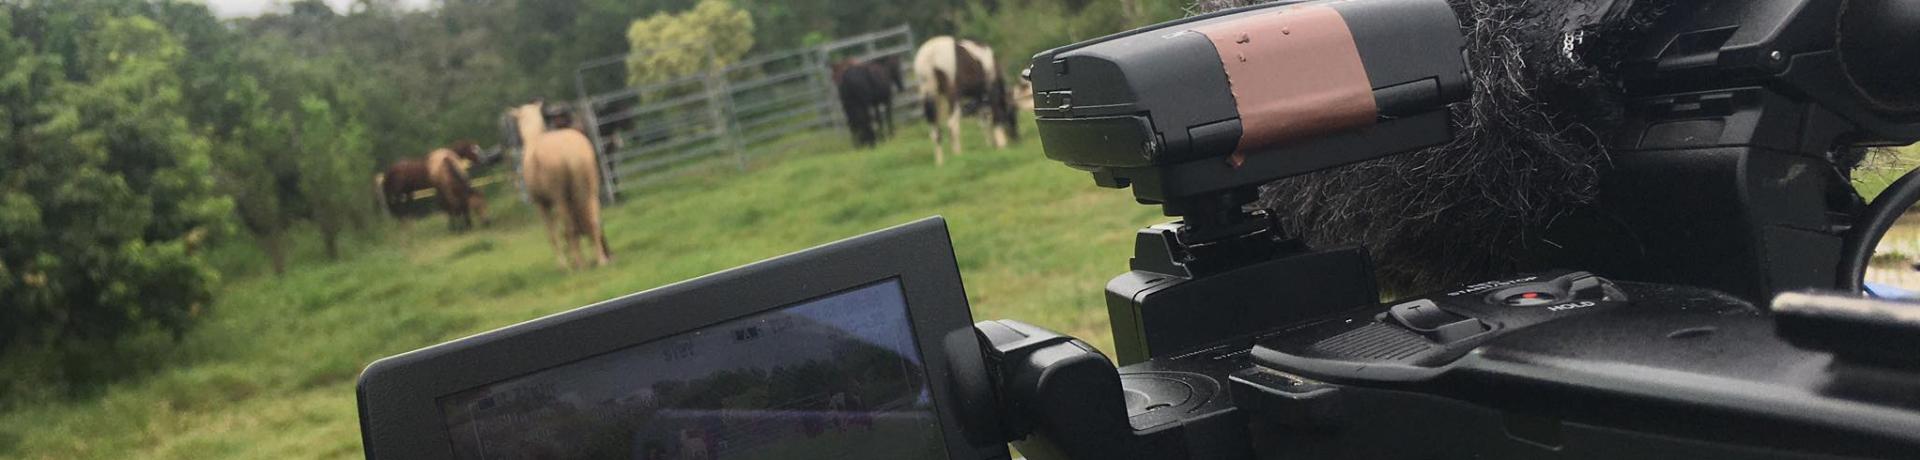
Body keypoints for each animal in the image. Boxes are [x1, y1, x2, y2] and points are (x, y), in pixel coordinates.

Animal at [506, 98, 610, 268]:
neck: (533, 139)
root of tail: (572, 155)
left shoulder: (541, 203)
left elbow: (552, 234)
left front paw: (562, 264)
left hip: (560, 197)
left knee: (570, 227)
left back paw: (579, 263)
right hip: (589, 190)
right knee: (593, 221)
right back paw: (601, 259)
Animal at [913, 36, 1021, 164]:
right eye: (1013, 113)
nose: (1017, 138)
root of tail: (929, 56)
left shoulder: (978, 96)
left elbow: (983, 120)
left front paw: (990, 144)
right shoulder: (990, 89)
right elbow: (995, 115)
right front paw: (1001, 144)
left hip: (931, 96)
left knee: (934, 129)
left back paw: (940, 162)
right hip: (952, 94)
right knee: (952, 124)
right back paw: (958, 155)